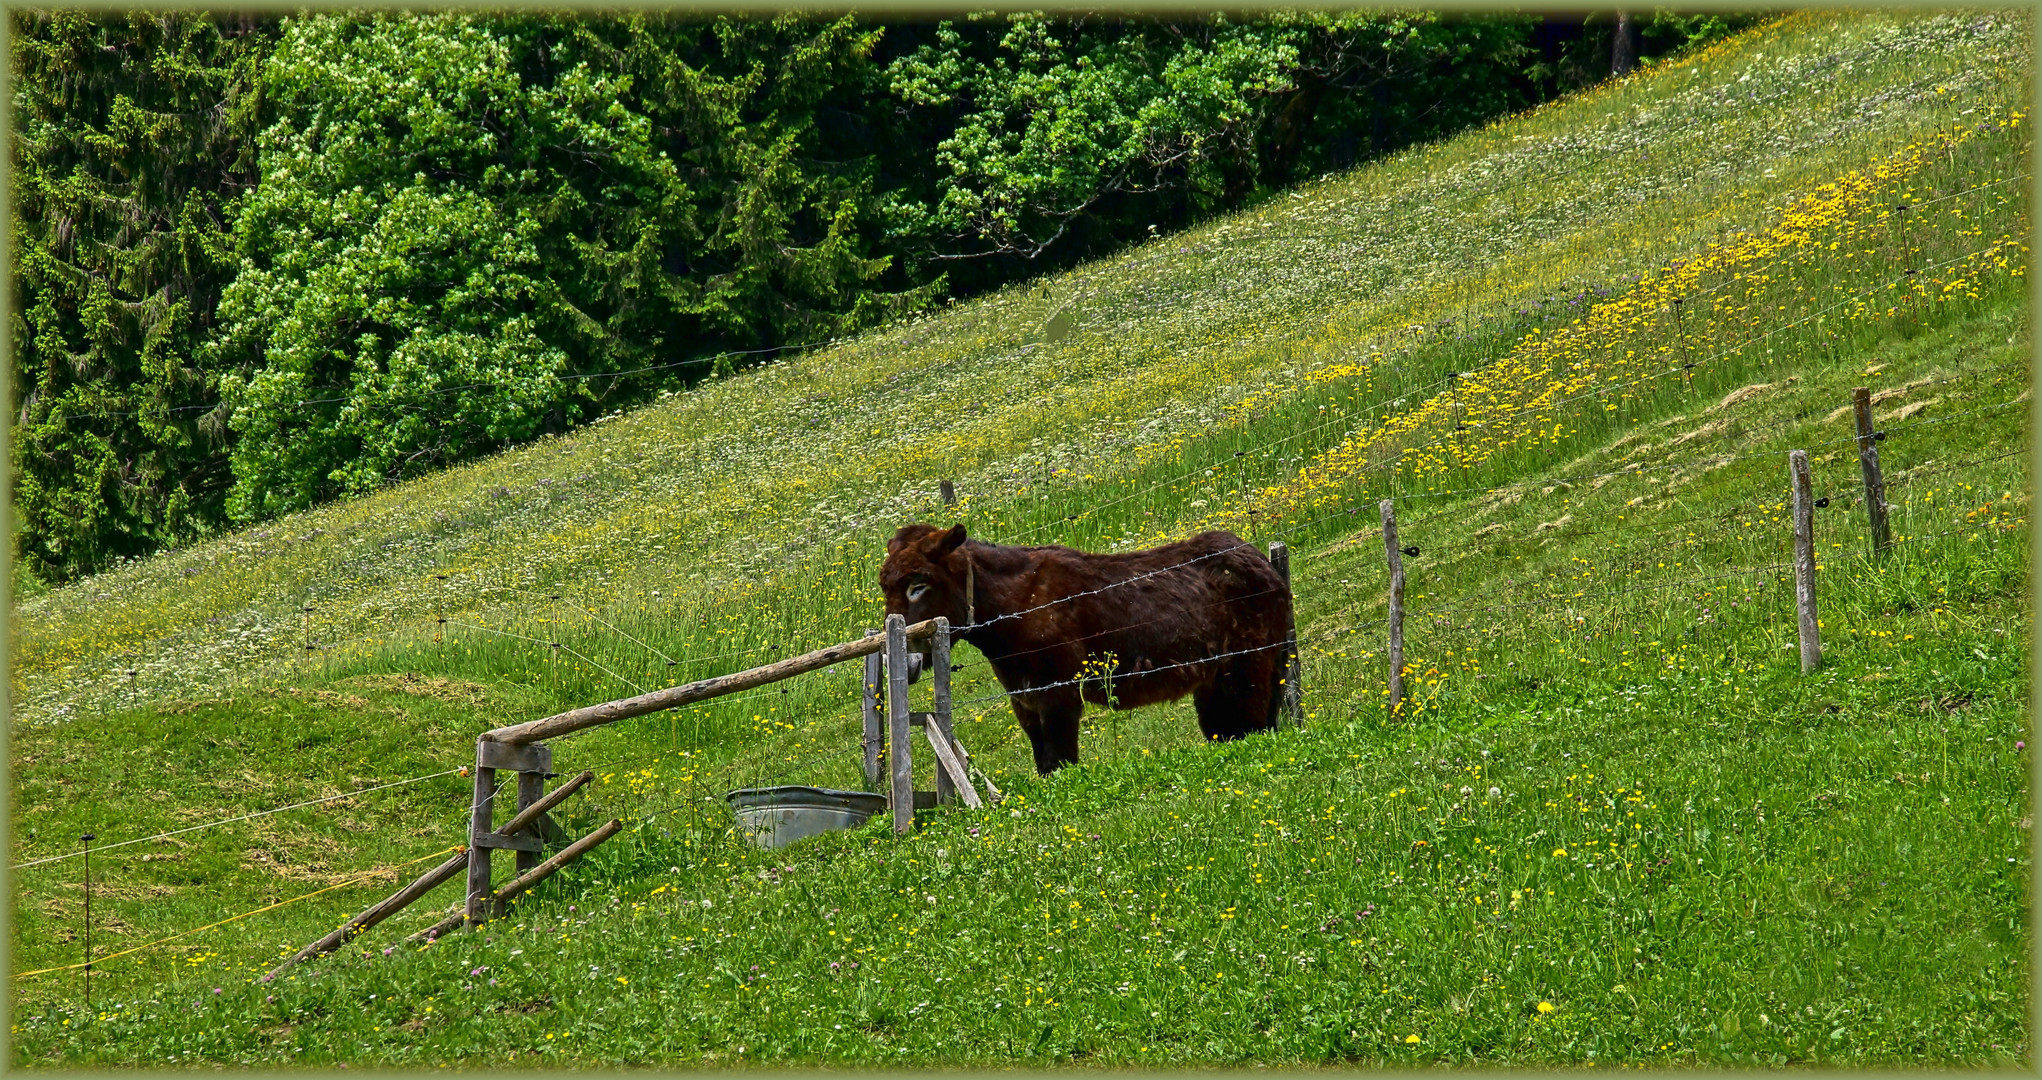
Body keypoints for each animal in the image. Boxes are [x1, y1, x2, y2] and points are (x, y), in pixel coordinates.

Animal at [878, 522, 1290, 771]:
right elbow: (1045, 764)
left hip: (1249, 673)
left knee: (1255, 729)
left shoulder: (1058, 697)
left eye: (918, 586)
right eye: (884, 588)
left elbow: (1061, 761)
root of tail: (1257, 556)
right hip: (1216, 686)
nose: (904, 663)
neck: (1014, 607)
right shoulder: (1024, 701)